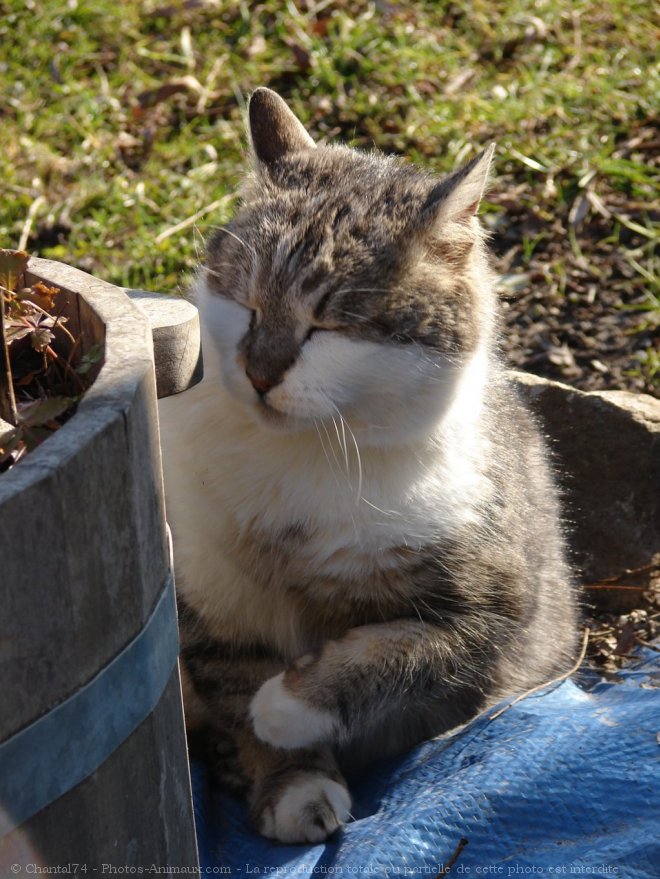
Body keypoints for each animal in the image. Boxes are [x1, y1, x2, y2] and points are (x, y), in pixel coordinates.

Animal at [157, 87, 576, 844]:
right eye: (246, 302)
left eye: (331, 324)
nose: (259, 372)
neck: (307, 454)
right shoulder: (209, 598)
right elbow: (237, 690)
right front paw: (290, 781)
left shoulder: (499, 613)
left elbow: (399, 652)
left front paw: (290, 705)